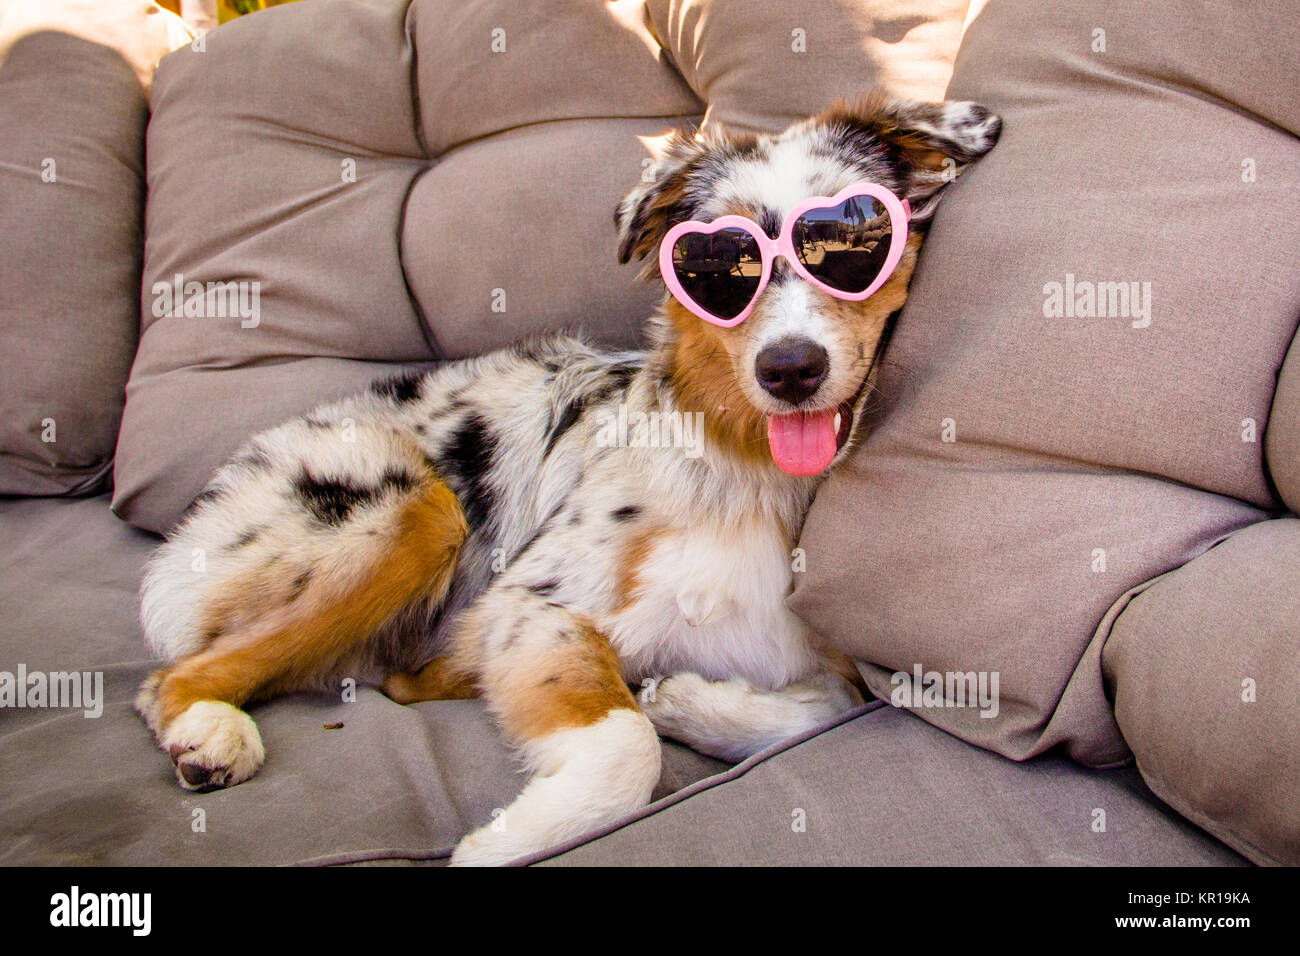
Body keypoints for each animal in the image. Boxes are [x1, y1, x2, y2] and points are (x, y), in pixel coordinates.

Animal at [137, 91, 998, 868]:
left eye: (854, 240)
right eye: (718, 267)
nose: (789, 368)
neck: (749, 470)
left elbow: (835, 700)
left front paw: (687, 700)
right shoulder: (529, 605)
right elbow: (626, 743)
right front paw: (509, 841)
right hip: (409, 514)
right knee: (170, 678)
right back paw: (210, 731)